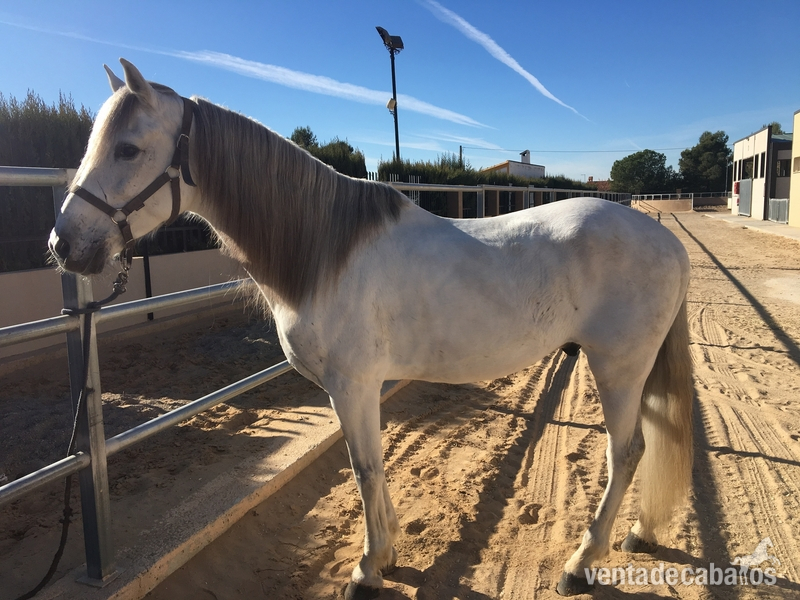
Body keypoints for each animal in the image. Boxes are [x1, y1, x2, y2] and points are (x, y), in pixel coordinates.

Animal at [49, 59, 694, 598]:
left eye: (128, 149)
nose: (63, 245)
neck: (324, 252)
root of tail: (667, 243)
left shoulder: (352, 384)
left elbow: (362, 467)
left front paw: (366, 569)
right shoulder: (359, 388)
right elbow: (374, 464)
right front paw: (385, 555)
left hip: (618, 368)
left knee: (626, 452)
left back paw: (581, 564)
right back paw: (637, 533)